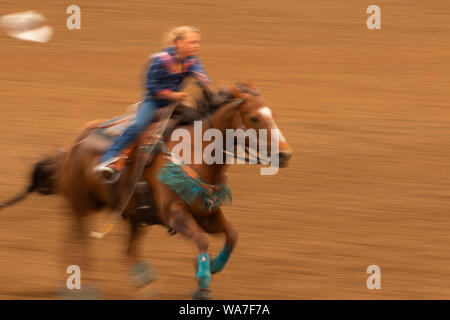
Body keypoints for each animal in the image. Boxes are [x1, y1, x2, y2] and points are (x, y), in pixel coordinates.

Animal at [0, 80, 292, 300]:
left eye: (273, 114)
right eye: (254, 117)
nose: (285, 155)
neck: (195, 152)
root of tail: (73, 145)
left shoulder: (207, 212)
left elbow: (232, 234)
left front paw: (214, 267)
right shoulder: (174, 213)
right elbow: (202, 240)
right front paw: (202, 284)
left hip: (135, 215)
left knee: (127, 250)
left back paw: (145, 283)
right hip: (81, 204)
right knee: (76, 240)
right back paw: (84, 286)